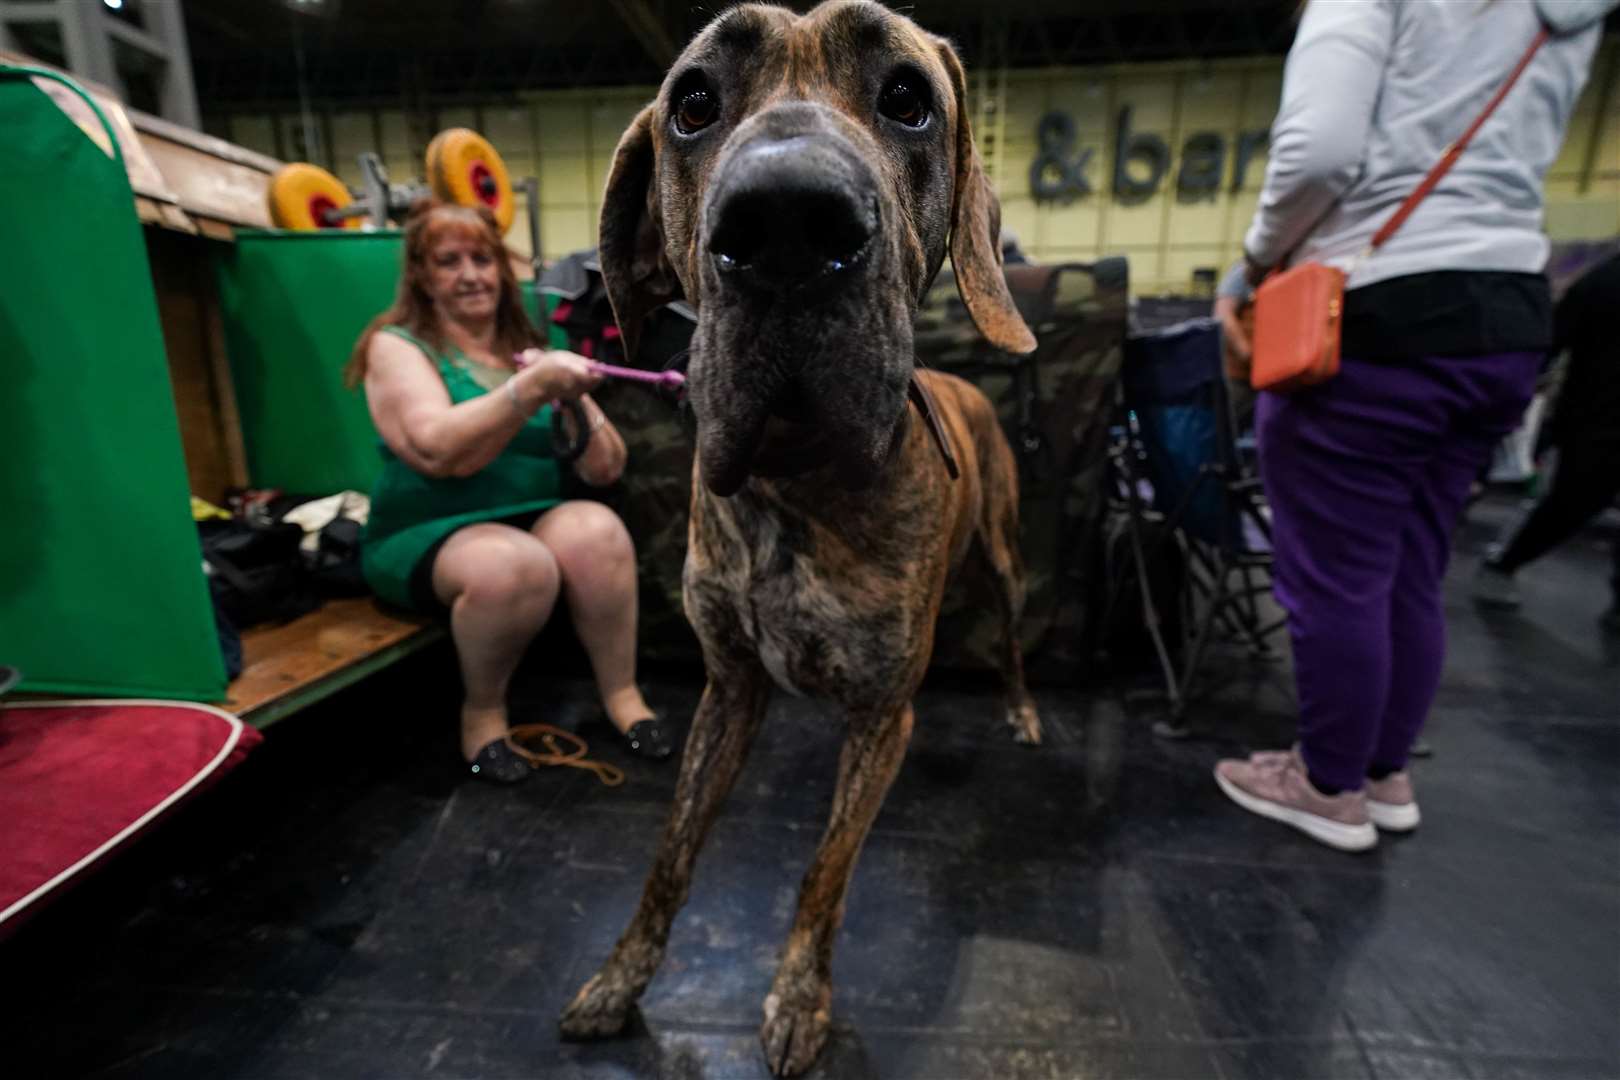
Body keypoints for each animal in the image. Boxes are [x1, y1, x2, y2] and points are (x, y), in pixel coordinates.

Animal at [557, 4, 1036, 1075]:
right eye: (693, 103)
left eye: (908, 97)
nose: (784, 224)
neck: (793, 489)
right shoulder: (727, 690)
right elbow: (671, 853)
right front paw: (618, 977)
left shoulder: (883, 719)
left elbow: (825, 870)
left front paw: (798, 998)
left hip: (1000, 560)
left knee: (1012, 637)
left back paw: (1025, 709)